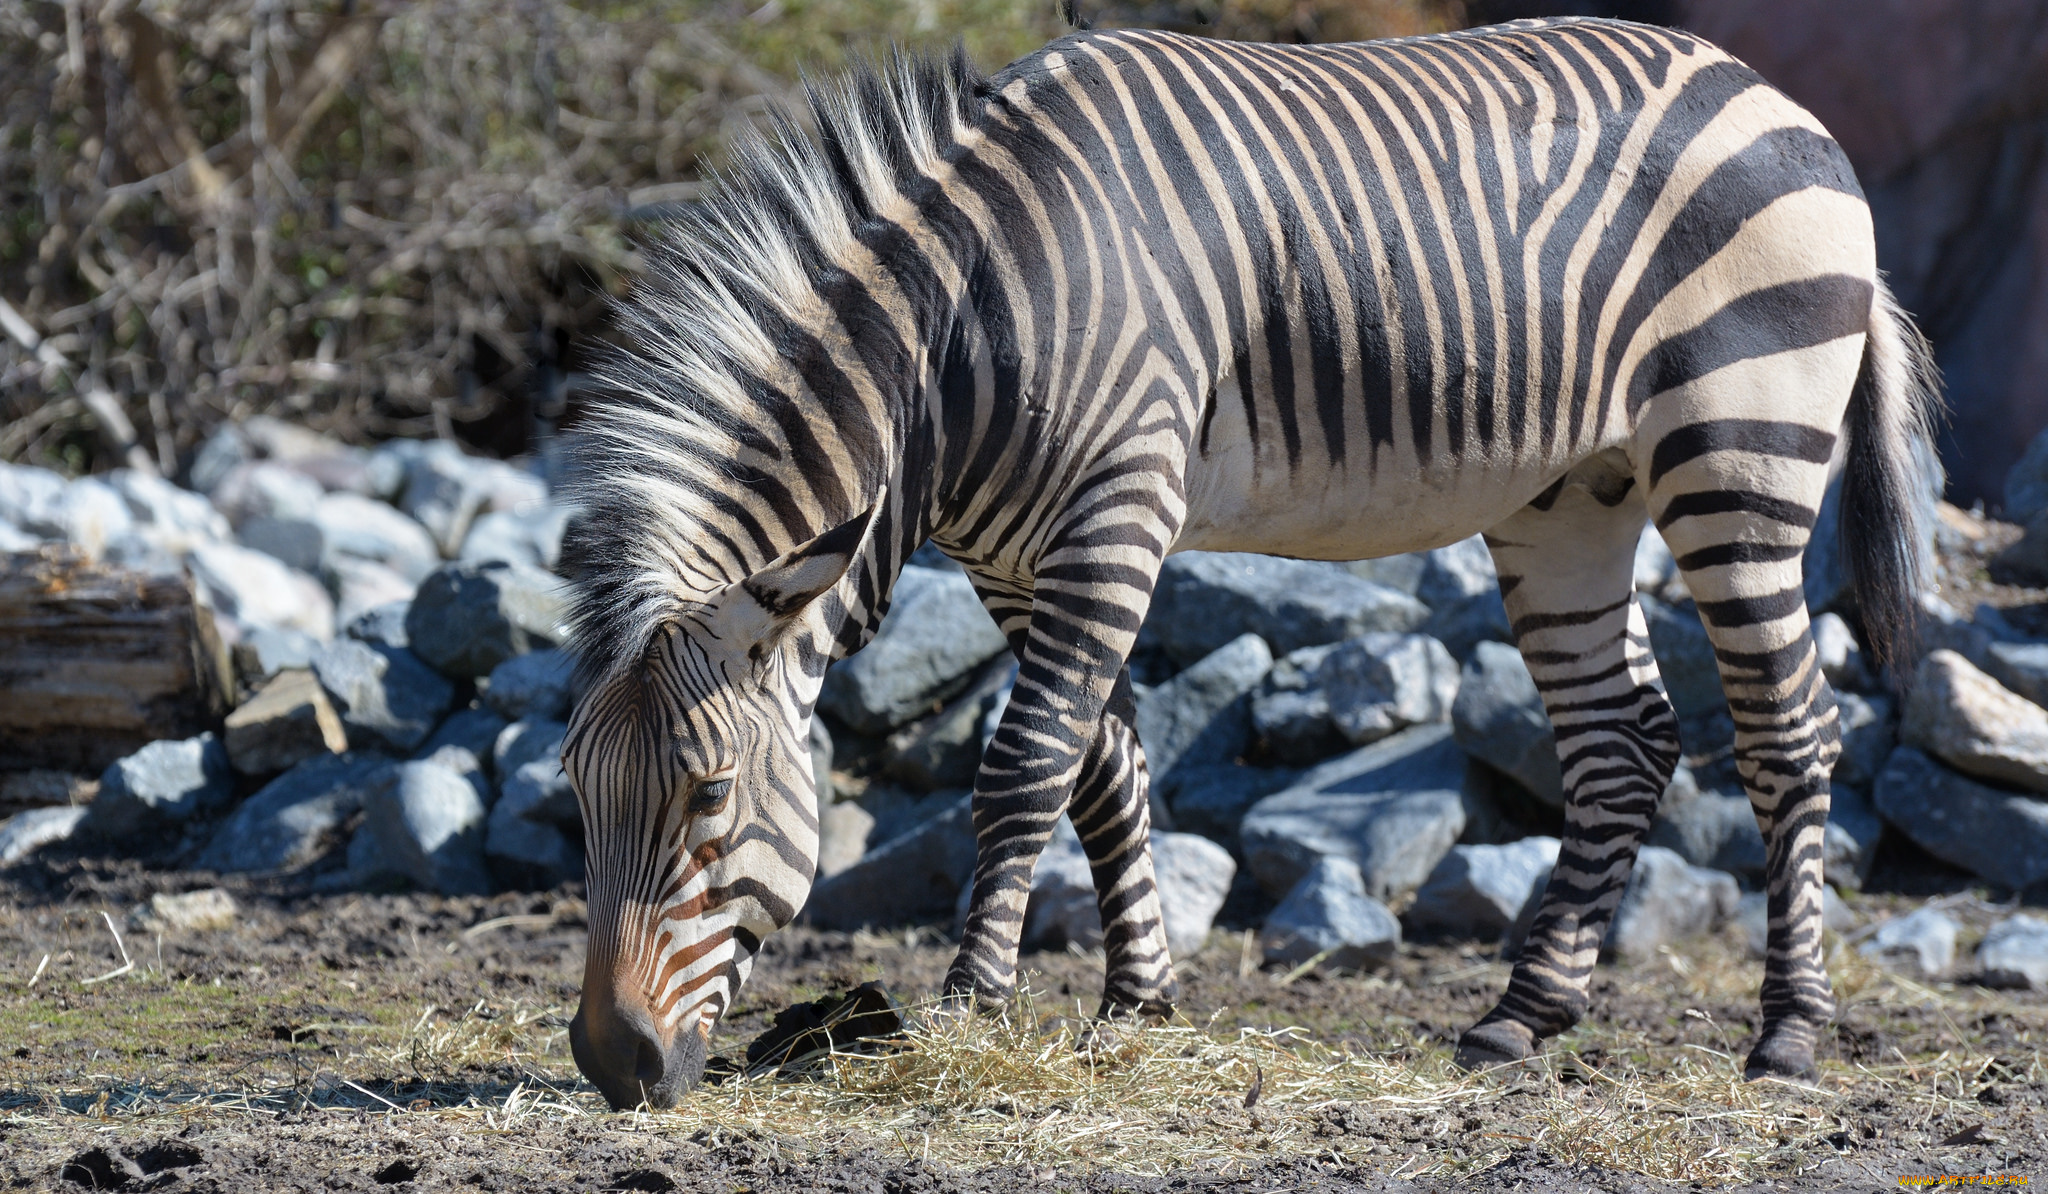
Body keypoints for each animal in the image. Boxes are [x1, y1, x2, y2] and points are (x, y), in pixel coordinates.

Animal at [557, 18, 1933, 1114]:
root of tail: (1766, 91)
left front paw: (967, 1008)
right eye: (575, 795)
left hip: (1740, 446)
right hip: (1571, 497)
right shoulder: (1014, 561)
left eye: (707, 799)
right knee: (1624, 740)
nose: (612, 1066)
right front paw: (1135, 1004)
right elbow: (1104, 768)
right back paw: (1518, 1017)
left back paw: (1786, 1035)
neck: (956, 342)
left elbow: (1023, 768)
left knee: (1786, 735)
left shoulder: (1113, 516)